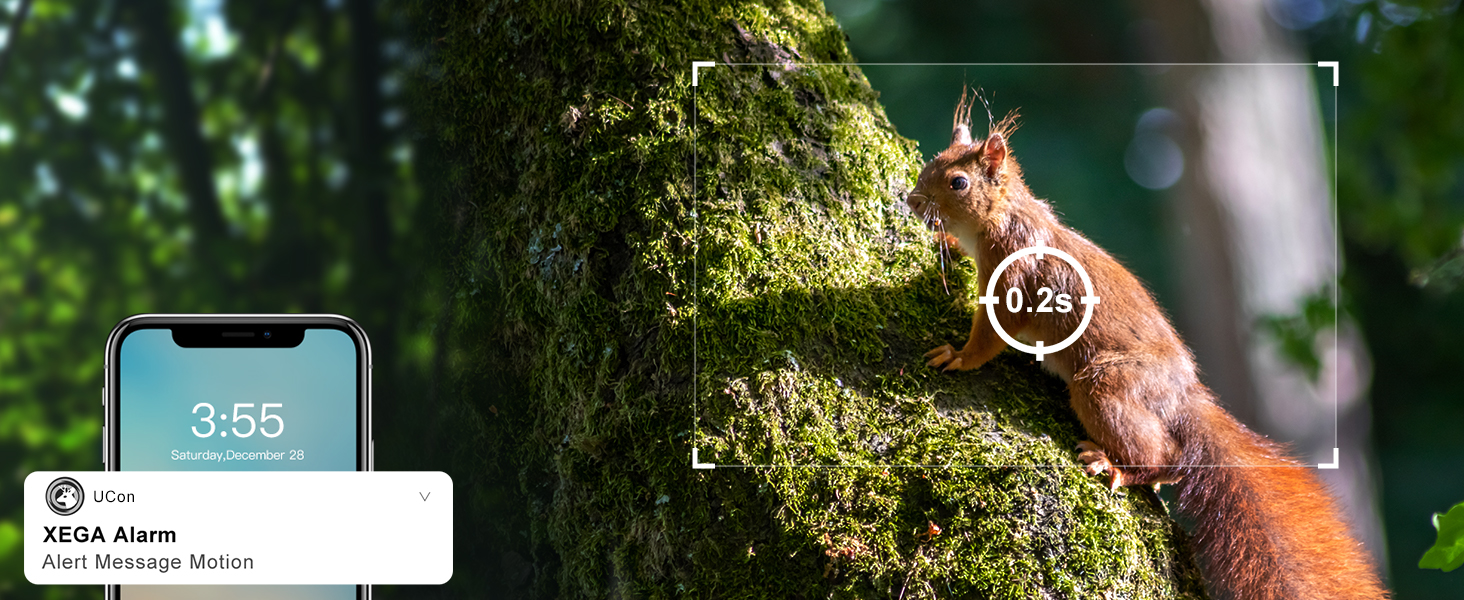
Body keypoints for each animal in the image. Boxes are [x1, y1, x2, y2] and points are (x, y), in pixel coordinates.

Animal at [905, 93, 1387, 600]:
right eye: (932, 161)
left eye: (958, 182)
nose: (911, 200)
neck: (1001, 217)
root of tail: (1182, 397)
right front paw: (943, 240)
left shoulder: (1014, 273)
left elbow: (992, 333)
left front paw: (959, 356)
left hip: (1106, 385)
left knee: (1163, 457)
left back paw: (1112, 466)